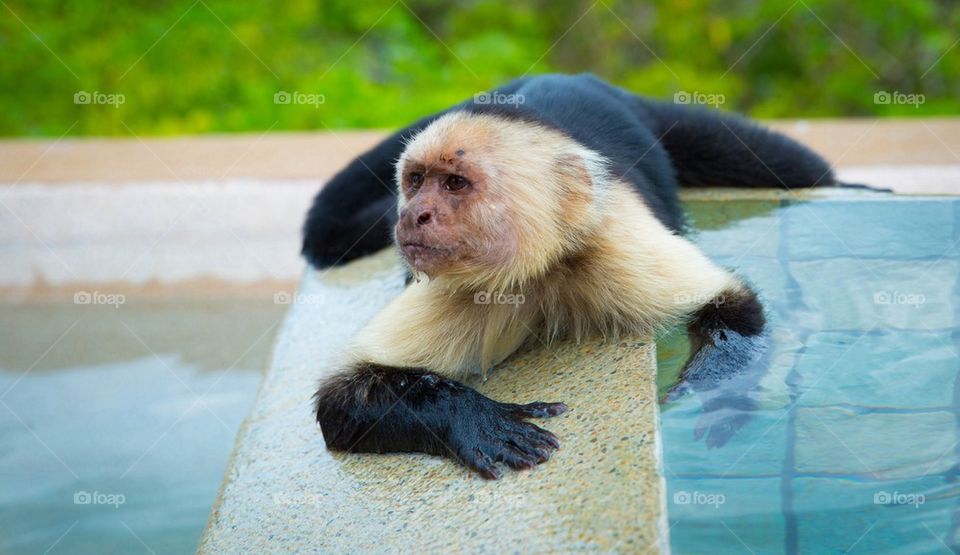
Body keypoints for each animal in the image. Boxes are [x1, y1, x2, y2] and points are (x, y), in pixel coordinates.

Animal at [305, 73, 835, 479]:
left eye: (455, 184)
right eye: (415, 181)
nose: (412, 214)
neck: (540, 270)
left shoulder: (612, 243)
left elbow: (730, 301)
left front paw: (714, 396)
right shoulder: (458, 286)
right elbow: (342, 395)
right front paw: (474, 419)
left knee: (796, 169)